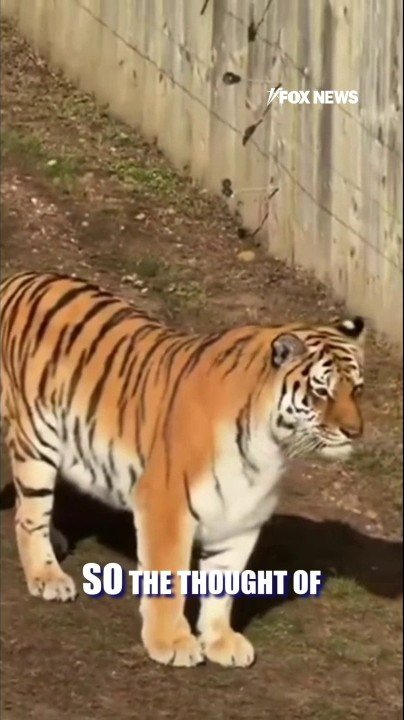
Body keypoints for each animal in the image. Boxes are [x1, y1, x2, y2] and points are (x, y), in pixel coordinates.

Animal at [0, 270, 365, 668]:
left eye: (357, 390)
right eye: (322, 392)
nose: (355, 431)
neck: (269, 447)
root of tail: (16, 278)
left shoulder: (242, 518)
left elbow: (223, 587)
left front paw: (221, 641)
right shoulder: (166, 506)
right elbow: (168, 579)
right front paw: (171, 643)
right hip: (37, 444)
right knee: (28, 516)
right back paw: (47, 575)